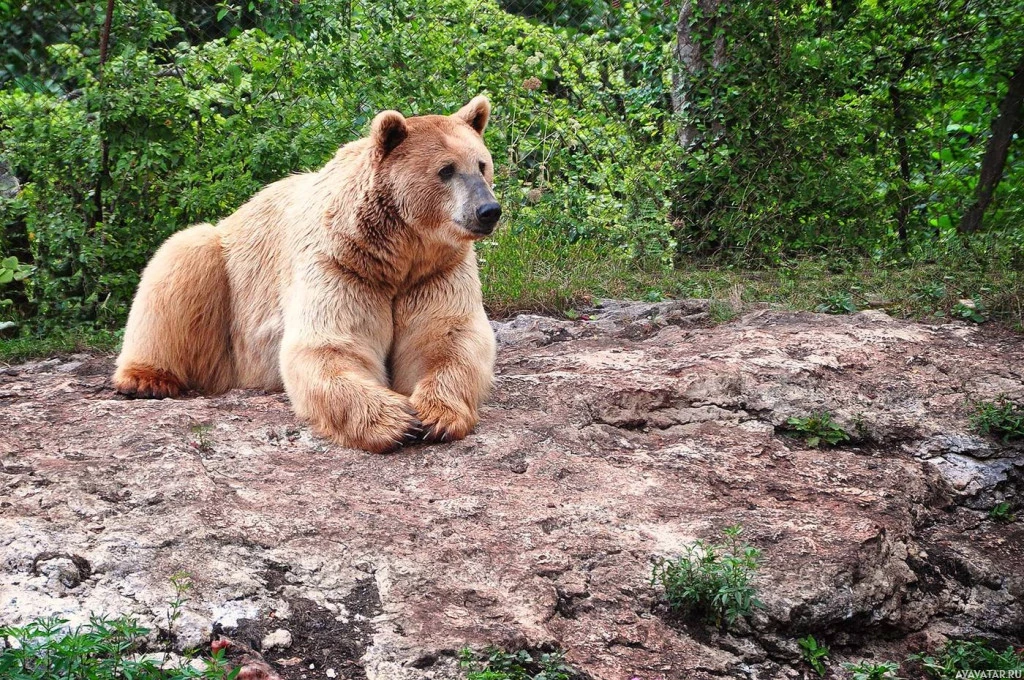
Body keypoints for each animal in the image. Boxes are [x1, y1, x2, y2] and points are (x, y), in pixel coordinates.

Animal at [114, 95, 501, 454]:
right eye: (446, 170)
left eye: (482, 165)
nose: (488, 210)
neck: (397, 254)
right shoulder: (339, 265)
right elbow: (330, 345)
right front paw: (394, 420)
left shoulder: (437, 270)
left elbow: (446, 338)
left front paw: (437, 416)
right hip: (224, 270)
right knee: (180, 259)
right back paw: (145, 379)